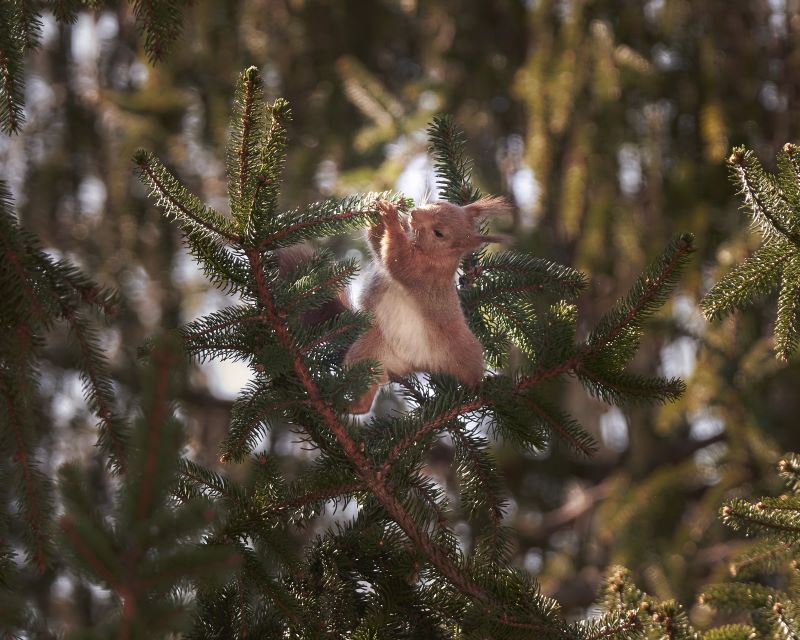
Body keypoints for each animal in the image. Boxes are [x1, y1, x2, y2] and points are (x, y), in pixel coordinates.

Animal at [346, 196, 510, 416]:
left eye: (439, 233)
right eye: (439, 203)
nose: (414, 213)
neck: (437, 256)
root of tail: (414, 363)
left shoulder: (422, 274)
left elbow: (398, 260)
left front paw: (390, 217)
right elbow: (377, 241)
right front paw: (380, 202)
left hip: (465, 349)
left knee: (473, 372)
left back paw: (483, 387)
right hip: (368, 352)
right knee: (367, 378)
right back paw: (353, 406)